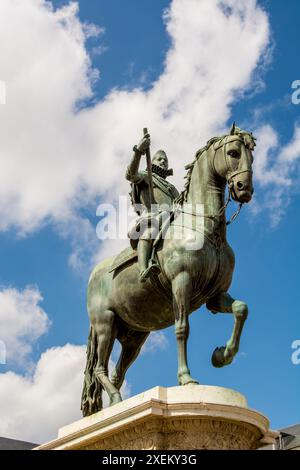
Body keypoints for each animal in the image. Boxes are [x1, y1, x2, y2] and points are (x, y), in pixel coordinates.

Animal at [81, 124, 255, 414]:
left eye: (251, 156)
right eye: (233, 152)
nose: (245, 189)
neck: (207, 231)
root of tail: (94, 275)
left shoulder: (215, 296)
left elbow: (241, 309)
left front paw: (222, 355)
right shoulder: (181, 283)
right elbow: (182, 328)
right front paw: (186, 379)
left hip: (134, 336)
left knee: (117, 371)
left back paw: (118, 404)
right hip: (105, 324)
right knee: (99, 368)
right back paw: (116, 400)